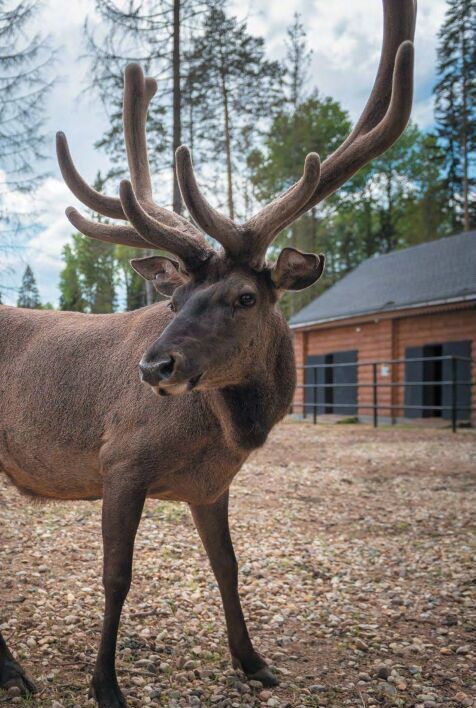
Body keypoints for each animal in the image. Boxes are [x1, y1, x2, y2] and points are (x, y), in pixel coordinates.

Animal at [0, 2, 416, 704]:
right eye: (174, 301)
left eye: (245, 296)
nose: (153, 366)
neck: (224, 432)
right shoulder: (121, 460)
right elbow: (116, 575)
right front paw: (105, 684)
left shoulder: (211, 486)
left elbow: (229, 565)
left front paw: (253, 661)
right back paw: (13, 671)